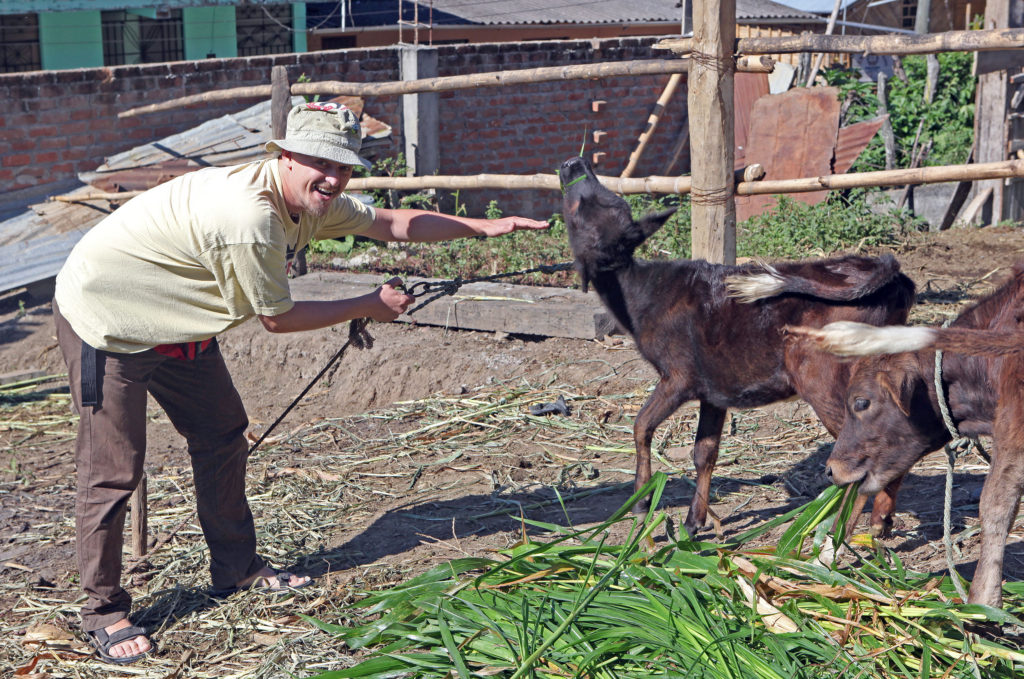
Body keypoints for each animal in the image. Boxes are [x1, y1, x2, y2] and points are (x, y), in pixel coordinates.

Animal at [557, 156, 917, 540]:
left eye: (581, 209)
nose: (573, 162)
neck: (641, 294)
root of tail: (888, 269)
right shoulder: (714, 388)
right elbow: (704, 451)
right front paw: (692, 523)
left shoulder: (678, 376)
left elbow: (641, 426)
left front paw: (641, 508)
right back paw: (878, 523)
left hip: (823, 377)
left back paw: (841, 530)